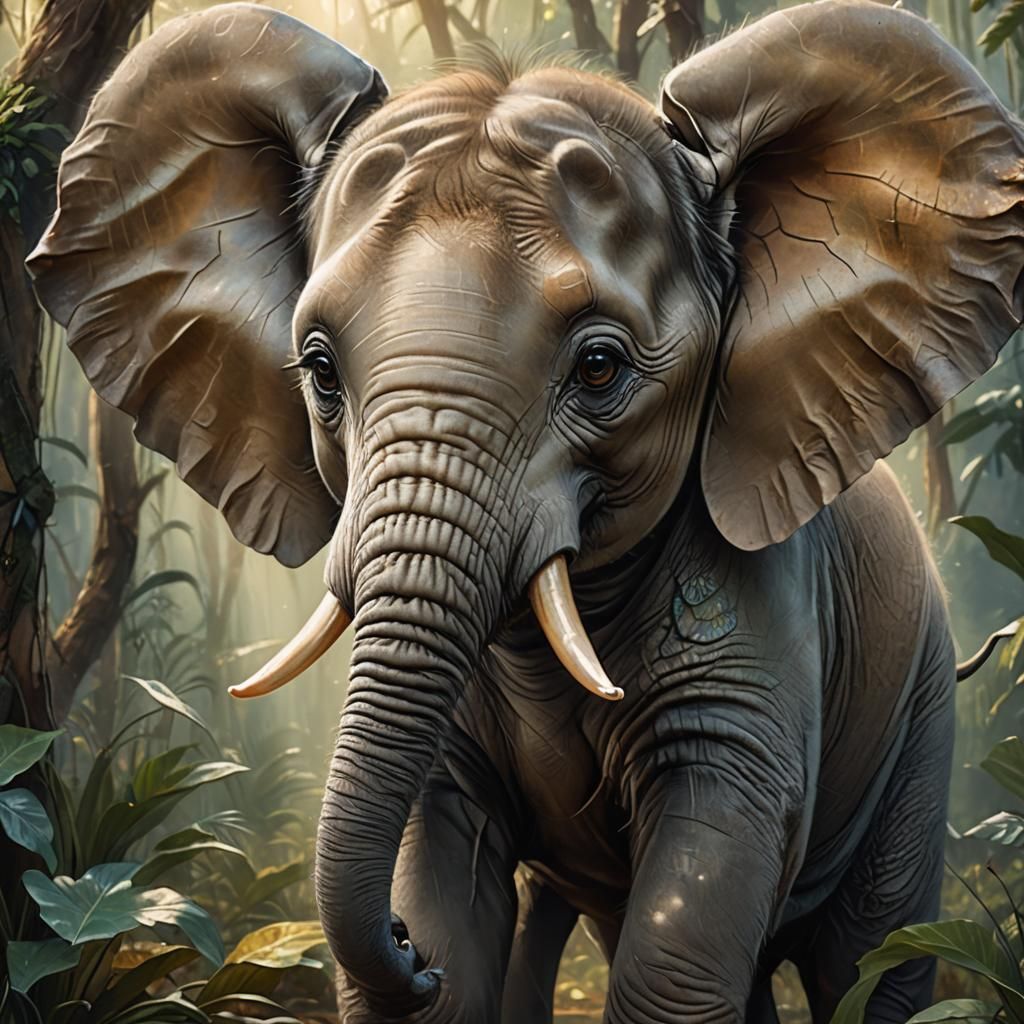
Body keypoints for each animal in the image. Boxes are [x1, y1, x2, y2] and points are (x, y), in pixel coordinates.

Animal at [26, 1, 1024, 1020]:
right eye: (320, 371)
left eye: (600, 367)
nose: (401, 949)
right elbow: (447, 869)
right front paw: (434, 954)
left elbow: (686, 934)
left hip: (922, 720)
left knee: (871, 952)